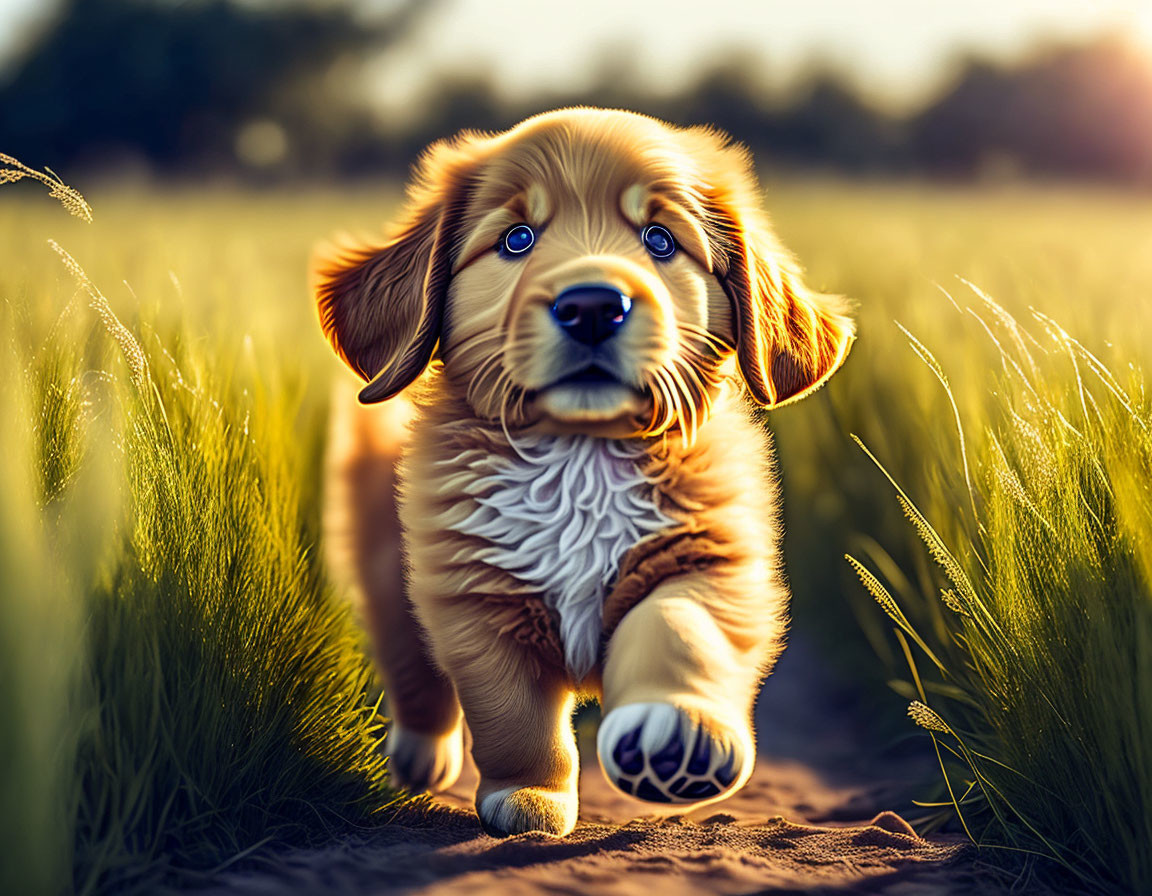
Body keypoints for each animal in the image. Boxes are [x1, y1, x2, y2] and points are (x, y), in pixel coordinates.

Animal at [315, 108, 857, 833]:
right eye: (517, 239)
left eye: (660, 239)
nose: (593, 306)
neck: (581, 454)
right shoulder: (477, 602)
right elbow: (512, 715)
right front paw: (529, 797)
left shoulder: (705, 558)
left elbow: (680, 631)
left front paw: (682, 738)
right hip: (387, 576)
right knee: (412, 670)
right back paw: (420, 756)